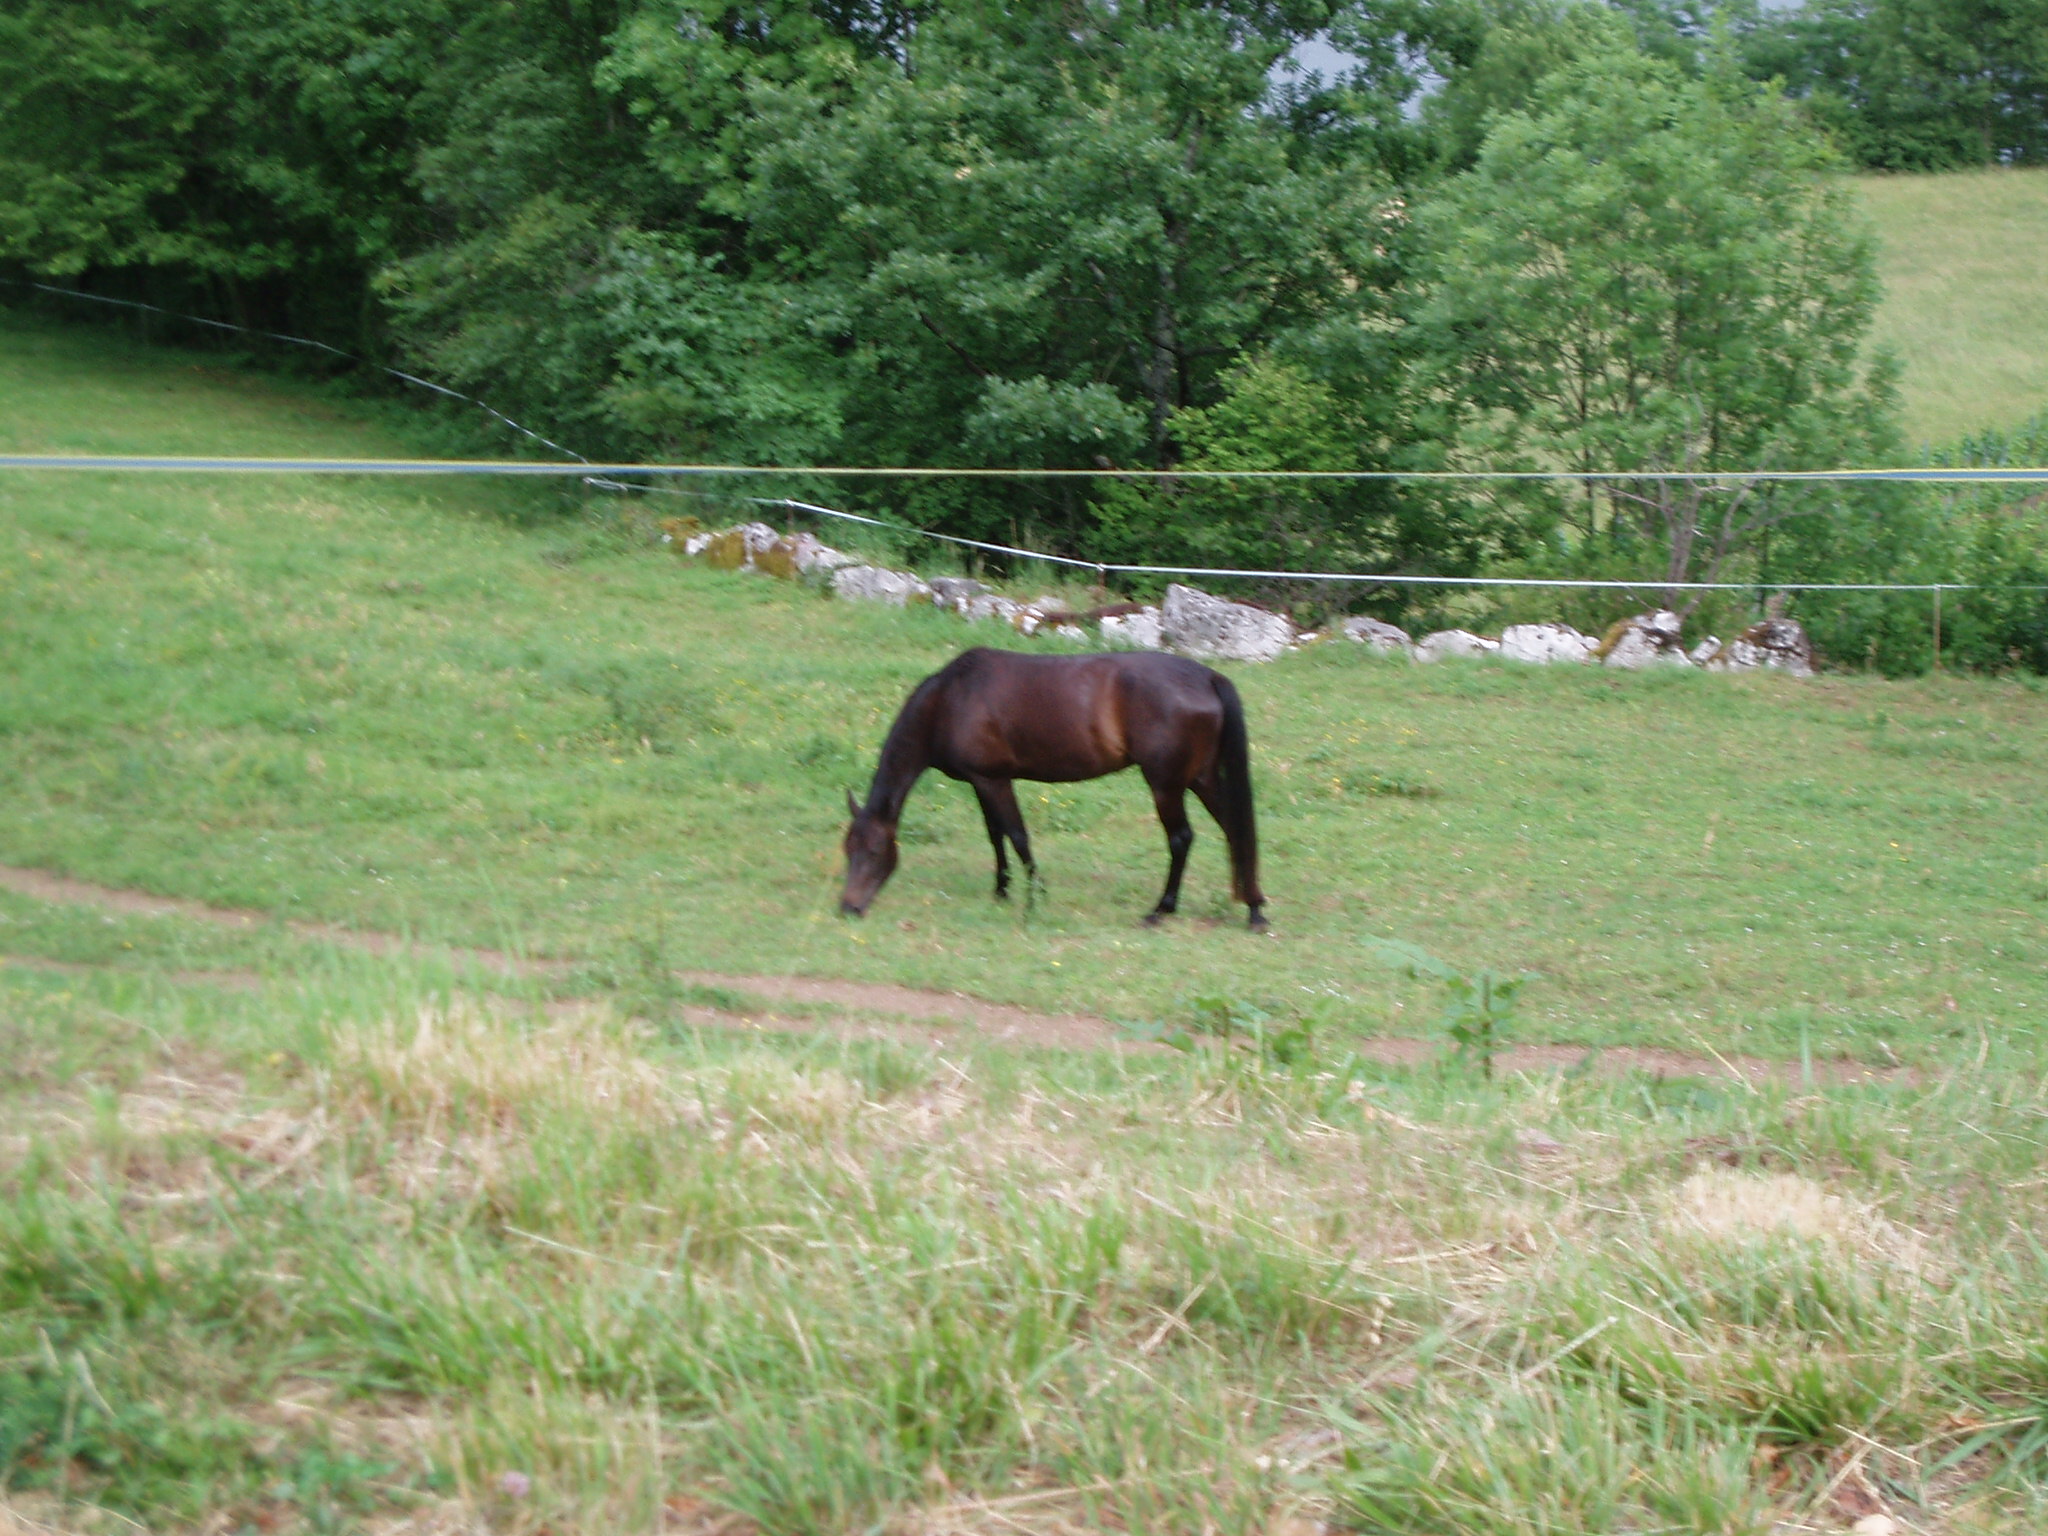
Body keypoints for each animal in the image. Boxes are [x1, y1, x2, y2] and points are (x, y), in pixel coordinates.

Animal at [838, 647, 1266, 928]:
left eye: (874, 851)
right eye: (847, 850)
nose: (848, 908)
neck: (950, 699)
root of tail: (1207, 677)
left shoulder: (993, 780)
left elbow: (1016, 836)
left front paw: (1035, 895)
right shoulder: (982, 781)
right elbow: (995, 835)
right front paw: (1002, 889)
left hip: (1166, 784)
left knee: (1181, 838)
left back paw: (1161, 909)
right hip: (1201, 778)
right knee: (1235, 829)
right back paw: (1255, 909)